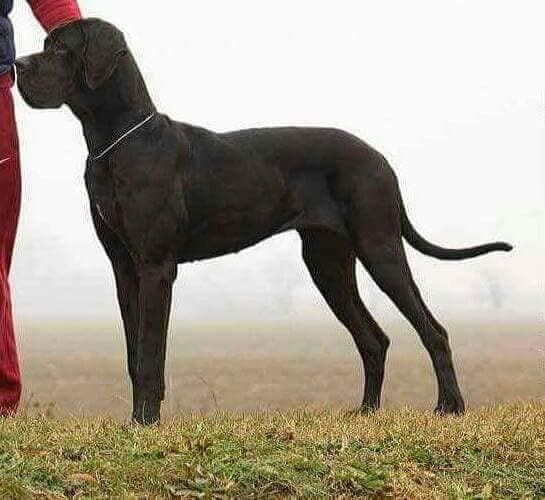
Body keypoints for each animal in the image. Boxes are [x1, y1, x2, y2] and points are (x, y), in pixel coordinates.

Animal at [15, 19, 512, 424]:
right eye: (44, 45)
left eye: (60, 49)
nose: (17, 64)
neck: (116, 141)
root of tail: (380, 159)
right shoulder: (124, 268)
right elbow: (133, 352)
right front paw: (136, 421)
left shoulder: (156, 267)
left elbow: (151, 354)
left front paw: (146, 423)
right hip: (327, 263)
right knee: (374, 339)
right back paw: (366, 413)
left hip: (379, 247)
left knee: (434, 330)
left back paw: (450, 406)